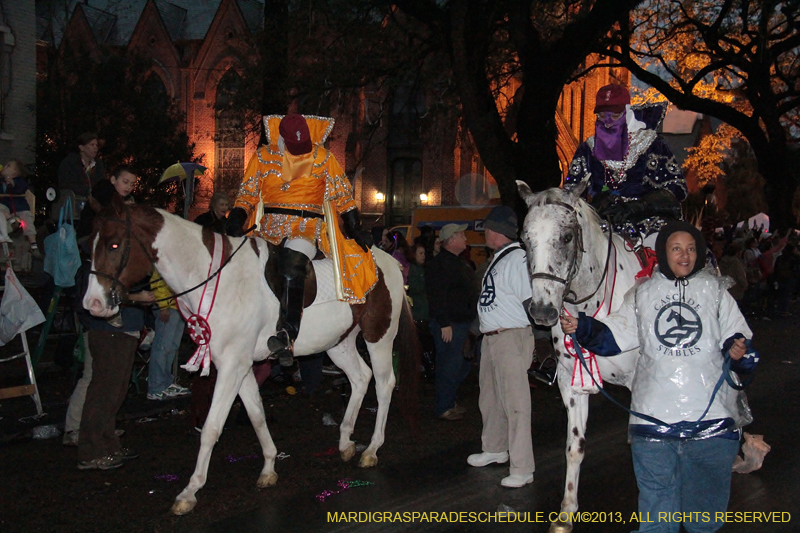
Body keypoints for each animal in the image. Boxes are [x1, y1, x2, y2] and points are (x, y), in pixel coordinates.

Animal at [81, 198, 418, 512]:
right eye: (89, 247)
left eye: (113, 244)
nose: (93, 304)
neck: (215, 278)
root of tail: (387, 260)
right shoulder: (237, 365)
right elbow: (256, 415)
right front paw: (268, 467)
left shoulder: (231, 366)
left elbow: (212, 428)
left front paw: (189, 491)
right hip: (339, 342)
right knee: (361, 378)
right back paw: (346, 441)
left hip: (378, 337)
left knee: (384, 384)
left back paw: (371, 449)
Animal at [520, 182, 644, 532]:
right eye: (524, 239)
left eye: (565, 237)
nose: (542, 312)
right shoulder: (571, 383)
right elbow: (574, 447)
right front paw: (566, 512)